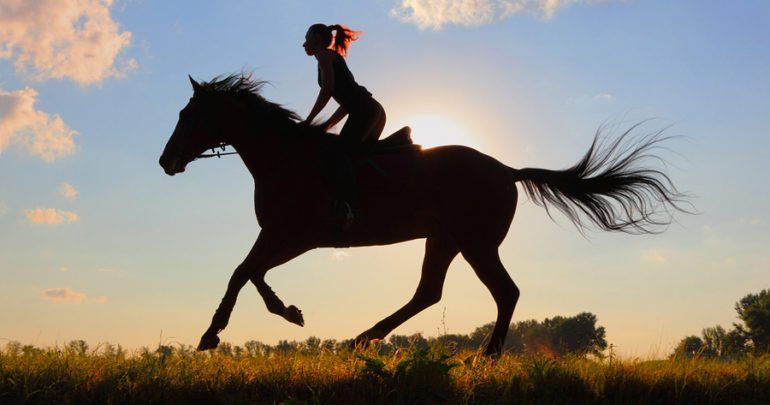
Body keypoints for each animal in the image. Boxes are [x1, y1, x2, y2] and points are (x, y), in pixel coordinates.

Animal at [156, 74, 684, 356]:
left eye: (187, 115)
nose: (166, 161)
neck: (285, 157)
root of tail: (508, 170)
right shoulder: (282, 235)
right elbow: (250, 272)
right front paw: (286, 312)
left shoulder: (295, 235)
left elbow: (242, 271)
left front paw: (212, 334)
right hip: (446, 240)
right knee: (431, 292)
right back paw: (364, 339)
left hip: (474, 242)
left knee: (503, 292)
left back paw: (482, 355)